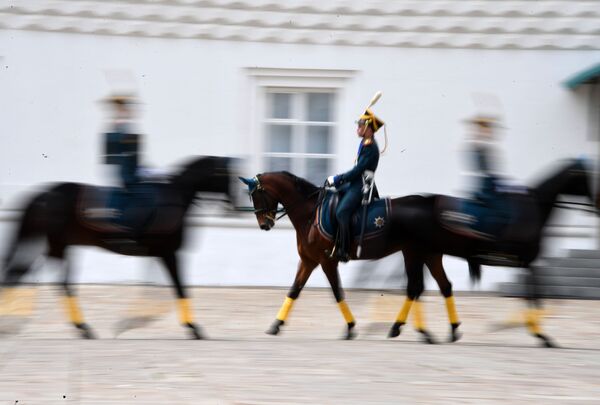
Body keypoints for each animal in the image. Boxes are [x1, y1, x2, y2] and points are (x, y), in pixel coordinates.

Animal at [0, 155, 234, 338]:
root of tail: (44, 195)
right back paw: (82, 327)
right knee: (51, 280)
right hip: (57, 245)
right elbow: (180, 287)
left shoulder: (158, 254)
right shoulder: (170, 253)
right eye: (225, 175)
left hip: (57, 246)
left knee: (26, 273)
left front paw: (132, 322)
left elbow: (155, 289)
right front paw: (194, 328)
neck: (174, 198)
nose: (233, 204)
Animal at [241, 170, 462, 340]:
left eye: (257, 195)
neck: (310, 214)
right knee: (441, 286)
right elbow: (294, 291)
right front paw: (276, 324)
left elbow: (337, 292)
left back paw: (410, 329)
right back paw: (446, 330)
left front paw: (350, 327)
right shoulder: (308, 261)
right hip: (427, 255)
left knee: (416, 287)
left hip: (415, 254)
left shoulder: (326, 261)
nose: (264, 224)